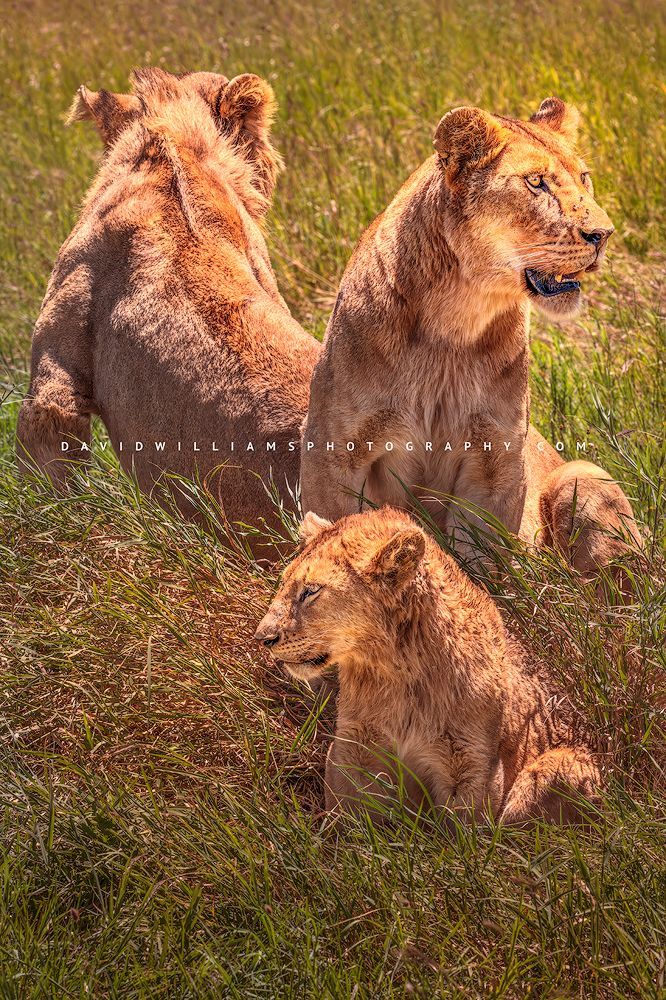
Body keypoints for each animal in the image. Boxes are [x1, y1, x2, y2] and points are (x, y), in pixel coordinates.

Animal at [255, 507, 600, 824]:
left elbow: (462, 838)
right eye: (284, 583)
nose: (262, 638)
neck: (394, 675)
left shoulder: (474, 769)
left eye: (310, 591)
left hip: (560, 770)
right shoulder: (351, 755)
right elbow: (347, 828)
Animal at [300, 97, 641, 578]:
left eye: (584, 177)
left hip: (584, 475)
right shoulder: (331, 454)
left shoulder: (495, 462)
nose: (604, 235)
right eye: (536, 182)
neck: (454, 323)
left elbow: (479, 563)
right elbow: (333, 529)